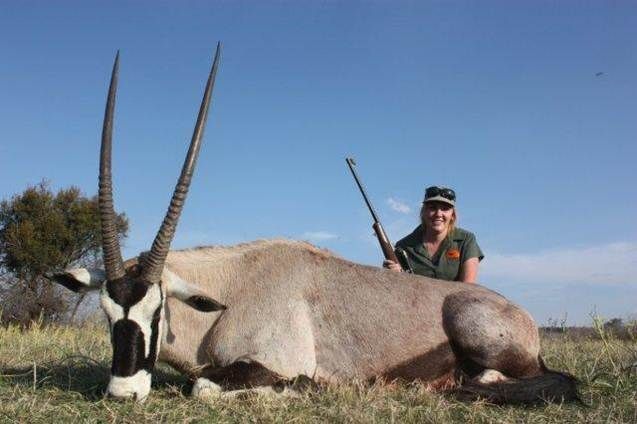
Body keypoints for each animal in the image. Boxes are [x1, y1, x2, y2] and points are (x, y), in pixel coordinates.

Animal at [49, 44, 578, 404]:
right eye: (106, 313)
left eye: (157, 311)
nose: (123, 392)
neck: (229, 291)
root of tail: (522, 315)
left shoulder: (273, 360)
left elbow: (204, 386)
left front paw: (302, 387)